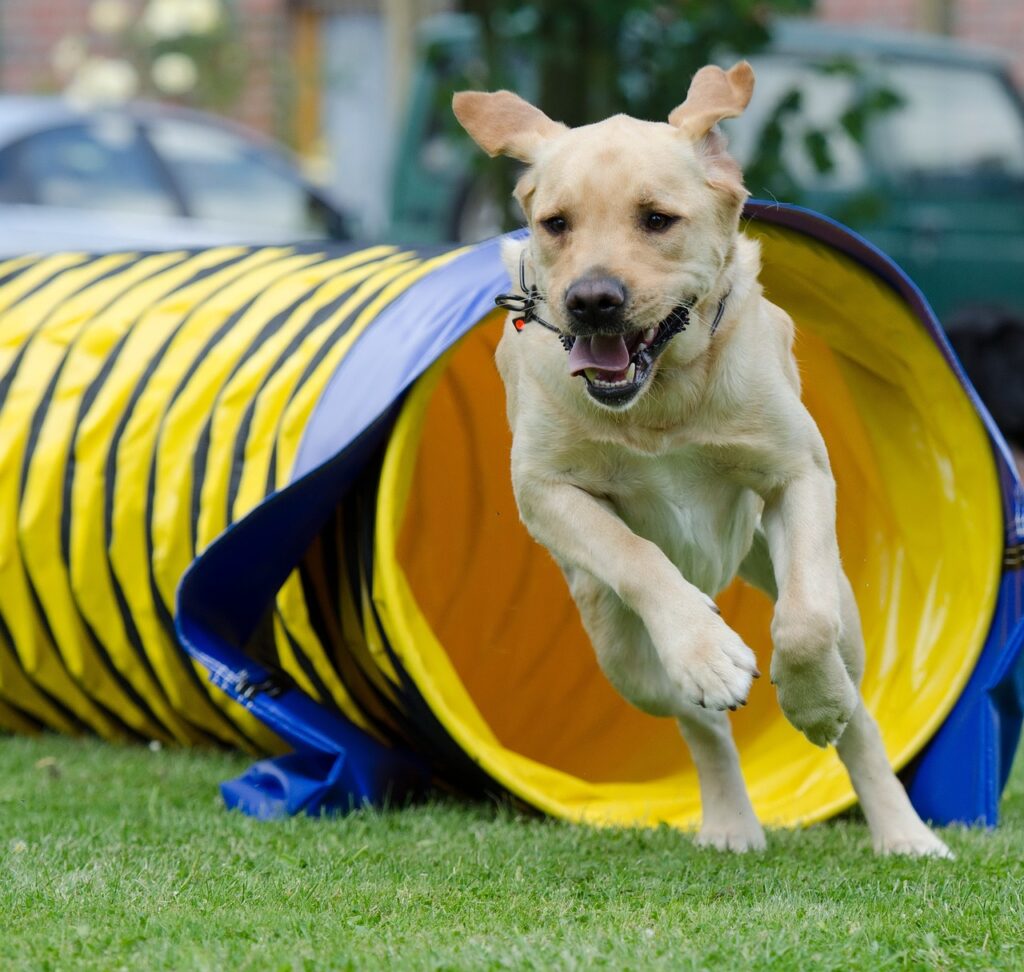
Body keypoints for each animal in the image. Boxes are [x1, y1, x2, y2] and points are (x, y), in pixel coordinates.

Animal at [454, 62, 950, 856]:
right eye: (556, 223)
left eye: (657, 219)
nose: (592, 300)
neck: (661, 397)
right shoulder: (545, 492)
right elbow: (636, 555)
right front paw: (709, 654)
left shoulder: (797, 473)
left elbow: (803, 626)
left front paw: (812, 703)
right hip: (619, 651)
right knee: (700, 723)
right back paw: (729, 819)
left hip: (835, 603)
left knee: (859, 712)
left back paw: (901, 828)